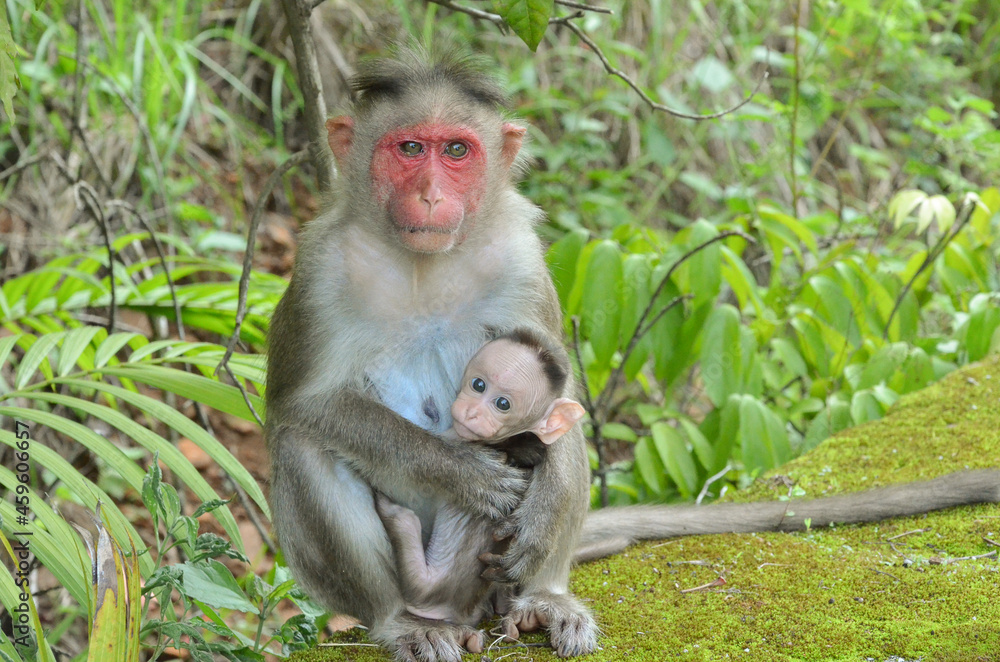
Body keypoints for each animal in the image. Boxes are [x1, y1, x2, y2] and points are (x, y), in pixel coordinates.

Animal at [374, 328, 585, 639]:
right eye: (478, 384)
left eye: (503, 404)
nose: (472, 411)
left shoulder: (457, 435)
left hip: (424, 587)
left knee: (409, 544)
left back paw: (394, 514)